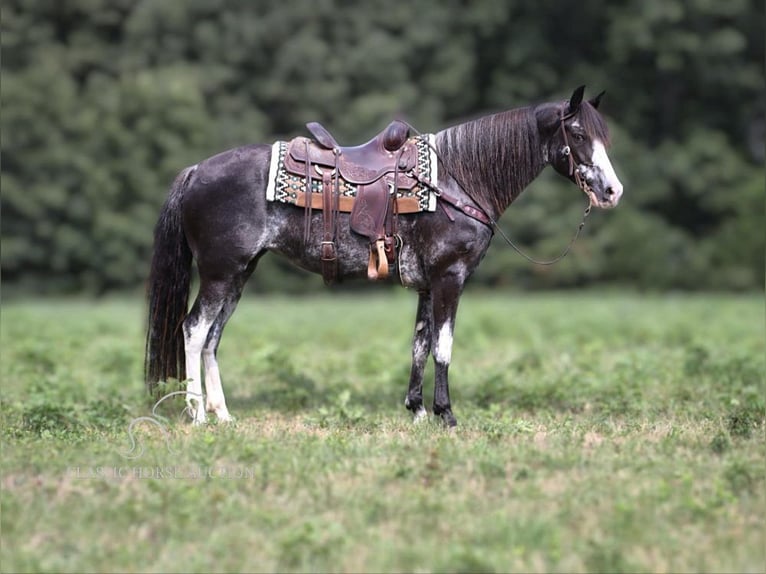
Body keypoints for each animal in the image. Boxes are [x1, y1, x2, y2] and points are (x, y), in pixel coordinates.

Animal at [142, 85, 624, 428]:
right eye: (578, 133)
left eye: (604, 135)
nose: (612, 191)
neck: (458, 180)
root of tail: (196, 171)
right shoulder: (450, 277)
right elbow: (444, 347)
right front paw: (447, 415)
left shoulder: (428, 284)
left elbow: (420, 344)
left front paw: (418, 410)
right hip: (220, 273)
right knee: (193, 329)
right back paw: (197, 414)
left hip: (239, 274)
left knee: (213, 338)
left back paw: (223, 414)